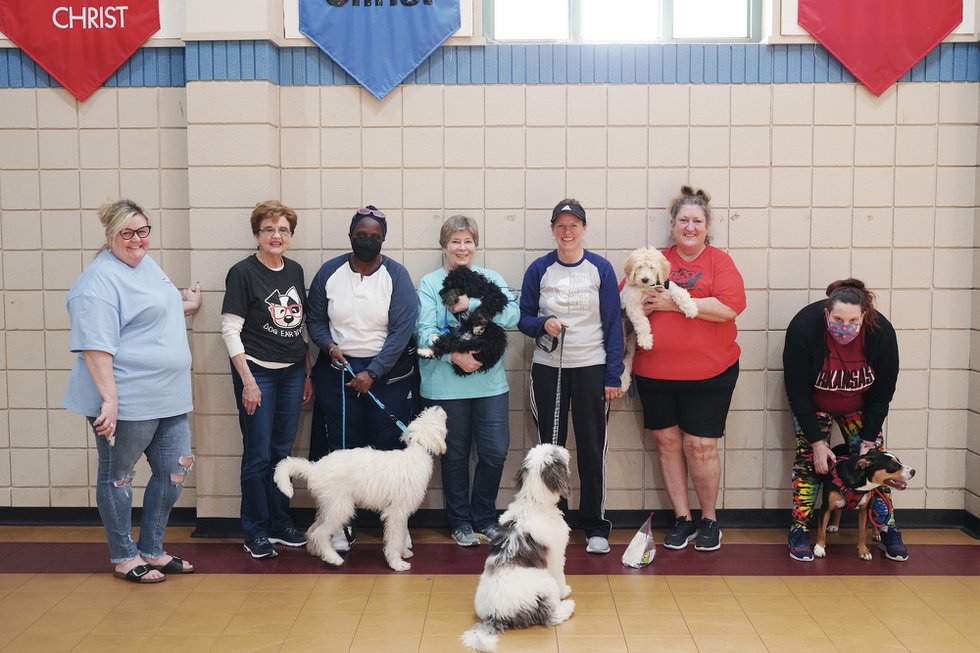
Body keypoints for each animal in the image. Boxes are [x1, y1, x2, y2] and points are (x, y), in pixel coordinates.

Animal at [272, 408, 448, 572]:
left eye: (422, 414)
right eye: (428, 415)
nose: (438, 407)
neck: (417, 453)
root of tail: (314, 468)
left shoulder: (401, 513)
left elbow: (401, 534)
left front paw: (403, 552)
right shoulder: (396, 513)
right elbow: (394, 538)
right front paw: (397, 563)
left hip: (328, 506)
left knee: (311, 530)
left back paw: (316, 551)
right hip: (341, 507)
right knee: (319, 533)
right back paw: (333, 558)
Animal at [464, 440, 580, 648]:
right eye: (555, 454)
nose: (563, 448)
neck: (533, 502)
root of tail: (496, 615)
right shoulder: (556, 554)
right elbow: (560, 574)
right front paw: (564, 591)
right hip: (545, 583)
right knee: (549, 616)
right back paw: (567, 607)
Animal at [620, 246, 696, 390]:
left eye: (652, 267)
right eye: (639, 267)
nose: (644, 279)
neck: (647, 288)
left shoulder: (666, 286)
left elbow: (679, 292)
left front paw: (690, 307)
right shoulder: (632, 304)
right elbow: (642, 322)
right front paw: (646, 340)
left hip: (631, 344)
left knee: (627, 359)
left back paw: (625, 380)